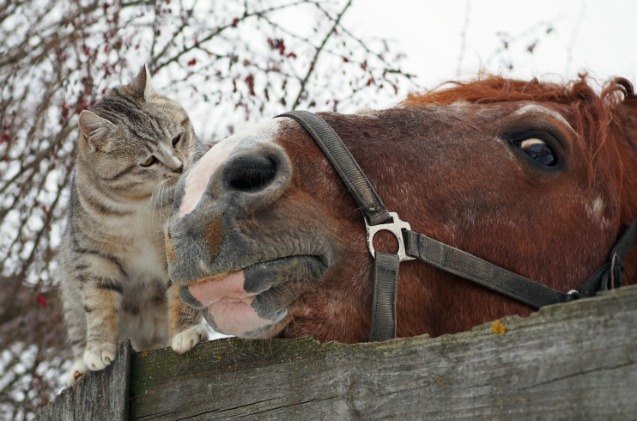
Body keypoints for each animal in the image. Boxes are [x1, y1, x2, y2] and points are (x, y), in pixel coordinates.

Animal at [57, 65, 206, 384]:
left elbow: (182, 289)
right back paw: (79, 366)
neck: (139, 205)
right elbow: (98, 301)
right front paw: (97, 348)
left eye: (176, 139)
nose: (179, 167)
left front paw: (187, 331)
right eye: (148, 161)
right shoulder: (93, 254)